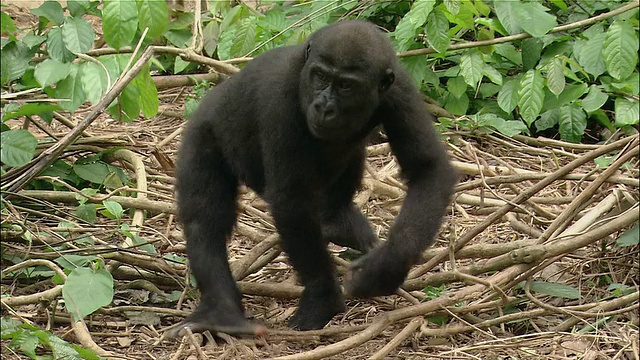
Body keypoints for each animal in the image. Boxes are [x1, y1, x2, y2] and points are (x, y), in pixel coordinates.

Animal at [170, 21, 456, 338]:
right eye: (320, 77)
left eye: (346, 86)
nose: (323, 106)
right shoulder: (280, 97)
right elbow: (291, 200)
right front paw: (323, 298)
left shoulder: (399, 90)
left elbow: (427, 169)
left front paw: (386, 268)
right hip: (202, 130)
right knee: (205, 221)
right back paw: (221, 312)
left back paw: (337, 221)